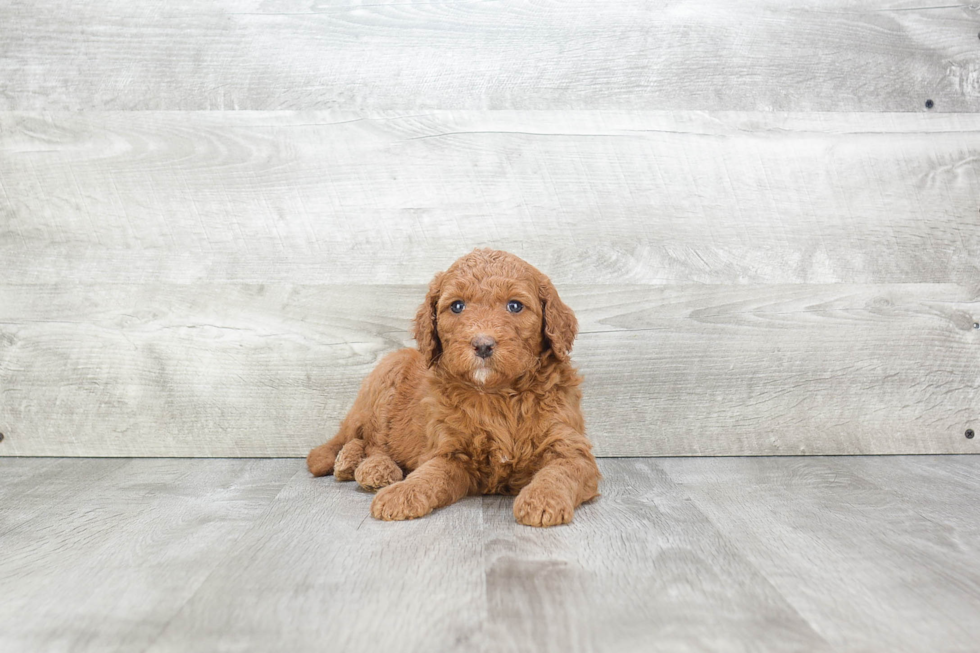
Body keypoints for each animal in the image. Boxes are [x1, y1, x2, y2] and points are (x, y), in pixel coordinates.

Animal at [306, 247, 600, 528]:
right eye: (457, 306)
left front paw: (543, 499)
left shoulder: (570, 447)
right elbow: (430, 473)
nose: (483, 344)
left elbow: (560, 472)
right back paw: (370, 467)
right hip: (387, 376)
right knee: (370, 440)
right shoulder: (450, 451)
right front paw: (403, 492)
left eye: (515, 306)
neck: (497, 395)